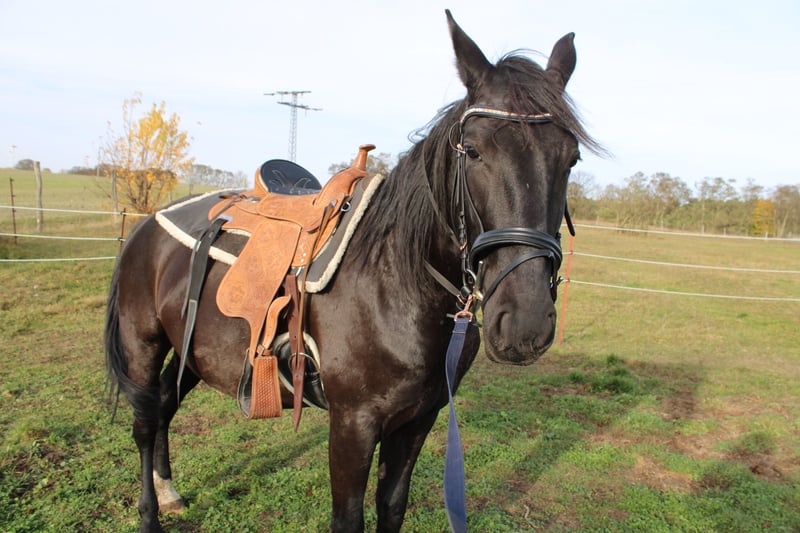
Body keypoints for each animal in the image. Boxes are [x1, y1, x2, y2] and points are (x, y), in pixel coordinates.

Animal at [105, 10, 601, 533]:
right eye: (474, 150)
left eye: (571, 158)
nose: (525, 325)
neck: (396, 284)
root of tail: (147, 224)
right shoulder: (352, 426)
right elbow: (349, 519)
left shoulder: (418, 419)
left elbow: (393, 506)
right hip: (142, 345)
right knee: (145, 421)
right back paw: (150, 513)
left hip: (193, 352)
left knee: (165, 405)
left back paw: (169, 490)